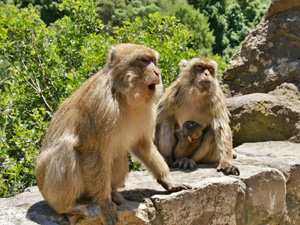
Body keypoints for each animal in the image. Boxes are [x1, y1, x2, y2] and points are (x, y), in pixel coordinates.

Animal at [35, 42, 190, 225]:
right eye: (144, 60)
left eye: (154, 61)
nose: (157, 72)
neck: (124, 95)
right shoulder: (101, 103)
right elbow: (92, 152)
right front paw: (104, 204)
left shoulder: (148, 110)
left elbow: (142, 145)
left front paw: (168, 180)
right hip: (50, 193)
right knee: (66, 149)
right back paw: (74, 206)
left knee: (118, 156)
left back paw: (113, 193)